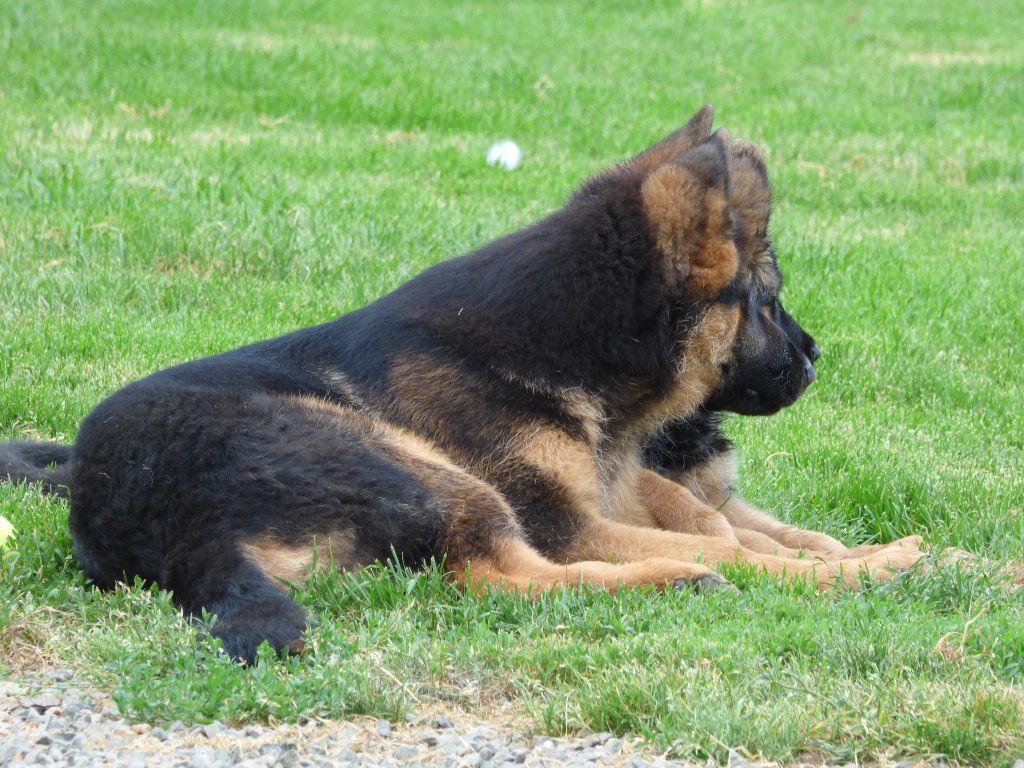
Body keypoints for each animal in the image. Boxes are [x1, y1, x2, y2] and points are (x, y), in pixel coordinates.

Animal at [0, 107, 925, 663]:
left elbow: (746, 523)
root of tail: (167, 526)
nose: (815, 356)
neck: (564, 342)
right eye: (767, 301)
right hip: (411, 464)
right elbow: (727, 538)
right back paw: (680, 582)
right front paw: (857, 570)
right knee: (496, 575)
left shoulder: (612, 489)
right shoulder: (568, 519)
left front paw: (862, 554)